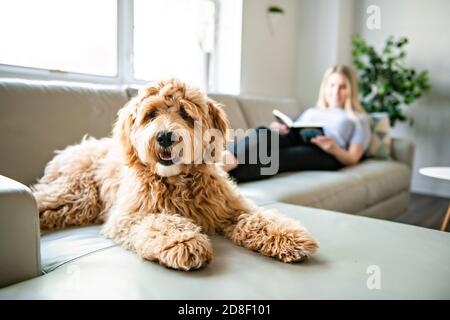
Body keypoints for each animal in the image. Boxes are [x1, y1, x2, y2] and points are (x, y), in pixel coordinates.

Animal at [33, 77, 318, 270]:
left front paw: (288, 236)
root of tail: (71, 149)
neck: (177, 180)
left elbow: (258, 218)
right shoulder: (130, 217)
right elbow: (162, 223)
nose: (165, 136)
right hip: (76, 196)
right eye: (150, 114)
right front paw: (184, 241)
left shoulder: (231, 207)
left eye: (185, 113)